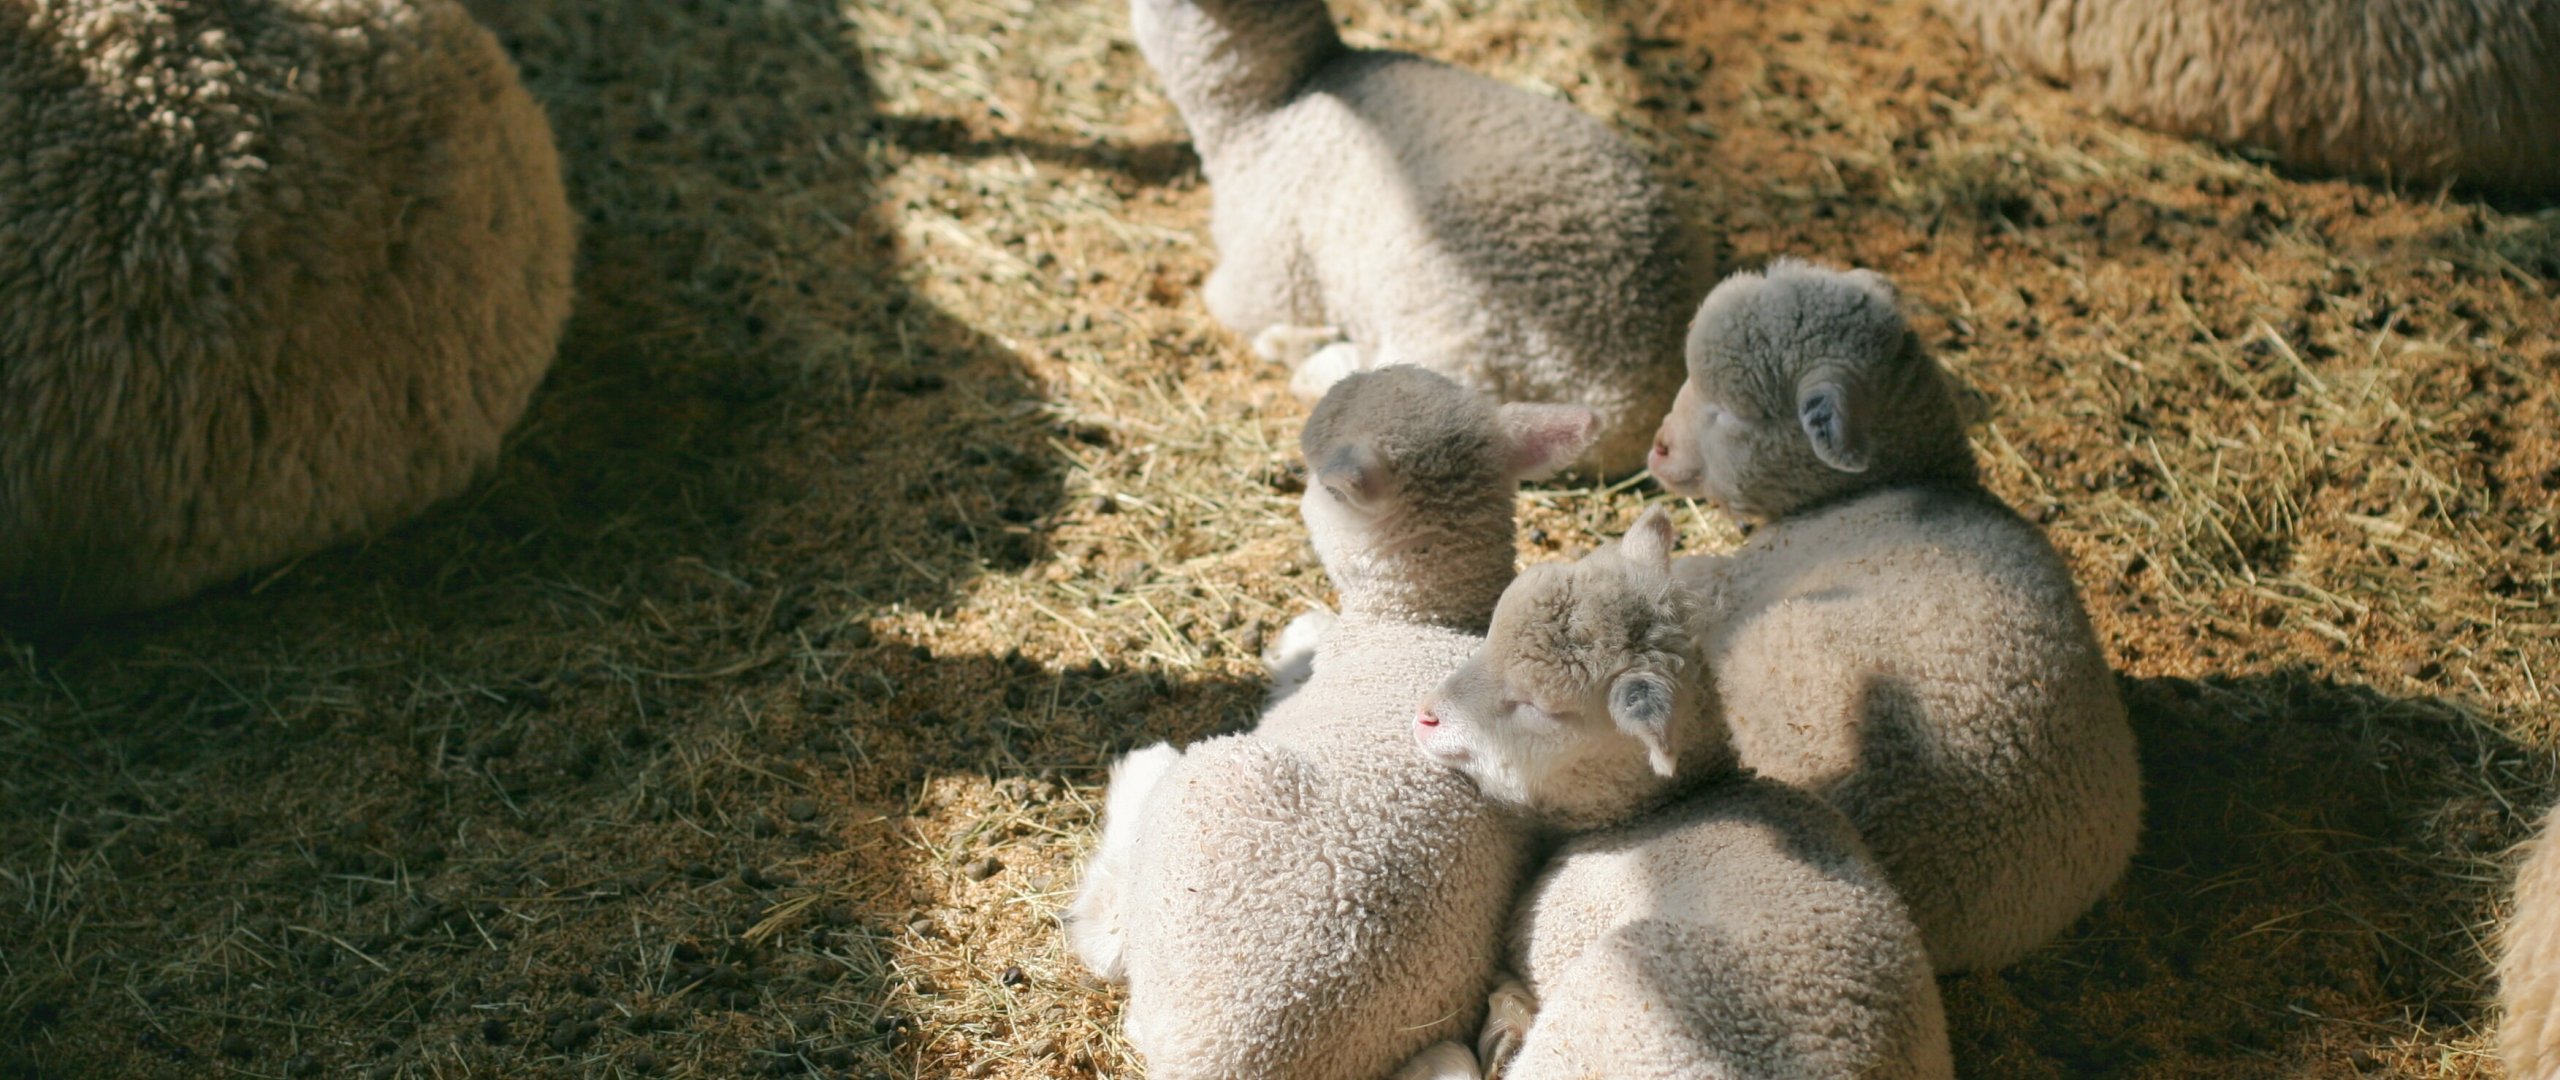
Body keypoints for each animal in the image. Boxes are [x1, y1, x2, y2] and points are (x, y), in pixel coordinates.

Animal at [1062, 365, 1601, 1079]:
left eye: (1313, 478)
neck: (1422, 618)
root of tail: (1227, 1061)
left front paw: (1299, 634)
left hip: (1201, 810)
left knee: (1106, 938)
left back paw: (1141, 770)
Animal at [1126, 0, 1704, 475]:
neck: (1270, 105)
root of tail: (1627, 402)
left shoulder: (1264, 271)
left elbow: (1223, 301)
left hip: (1445, 321)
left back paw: (1307, 353)